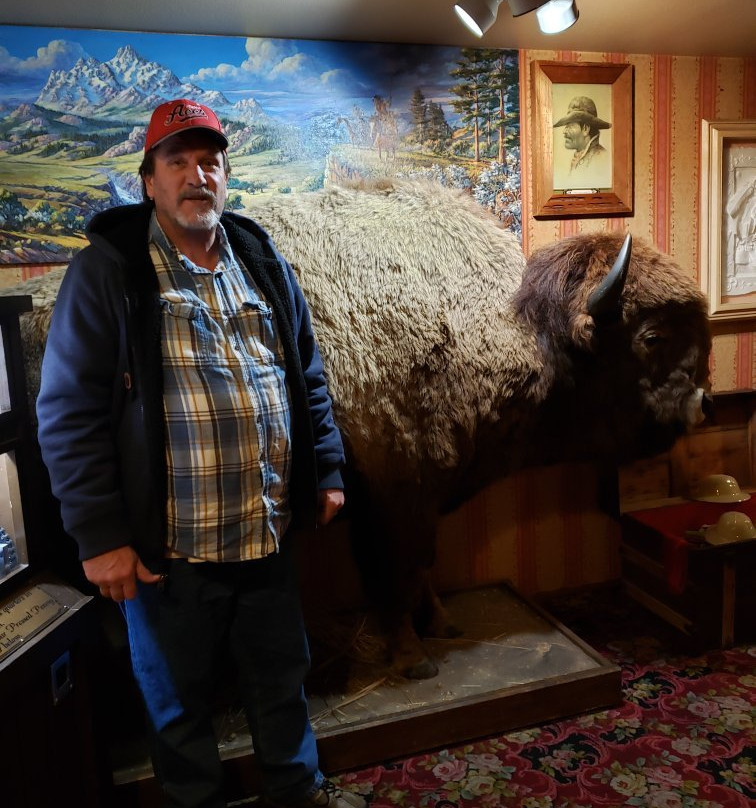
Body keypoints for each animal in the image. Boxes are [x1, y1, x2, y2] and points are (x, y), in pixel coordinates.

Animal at [4, 179, 711, 680]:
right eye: (652, 336)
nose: (700, 404)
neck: (519, 325)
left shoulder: (424, 494)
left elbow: (423, 566)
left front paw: (442, 625)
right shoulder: (393, 496)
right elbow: (392, 572)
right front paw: (412, 659)